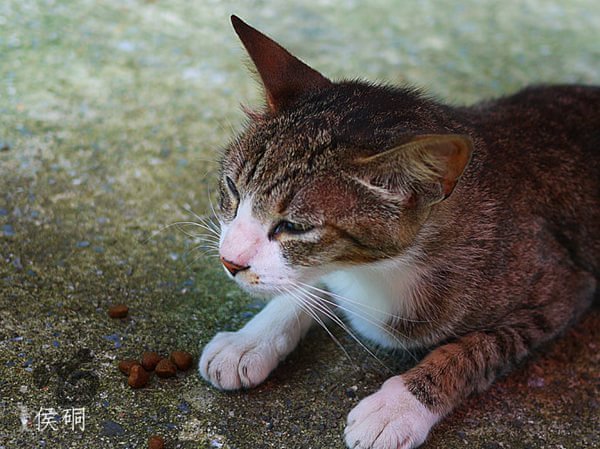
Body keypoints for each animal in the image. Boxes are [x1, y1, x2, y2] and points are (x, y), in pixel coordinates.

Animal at [198, 15, 600, 446]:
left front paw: (400, 405)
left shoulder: (561, 287)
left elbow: (476, 349)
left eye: (294, 226)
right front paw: (250, 340)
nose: (229, 261)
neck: (376, 270)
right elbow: (307, 283)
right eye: (233, 189)